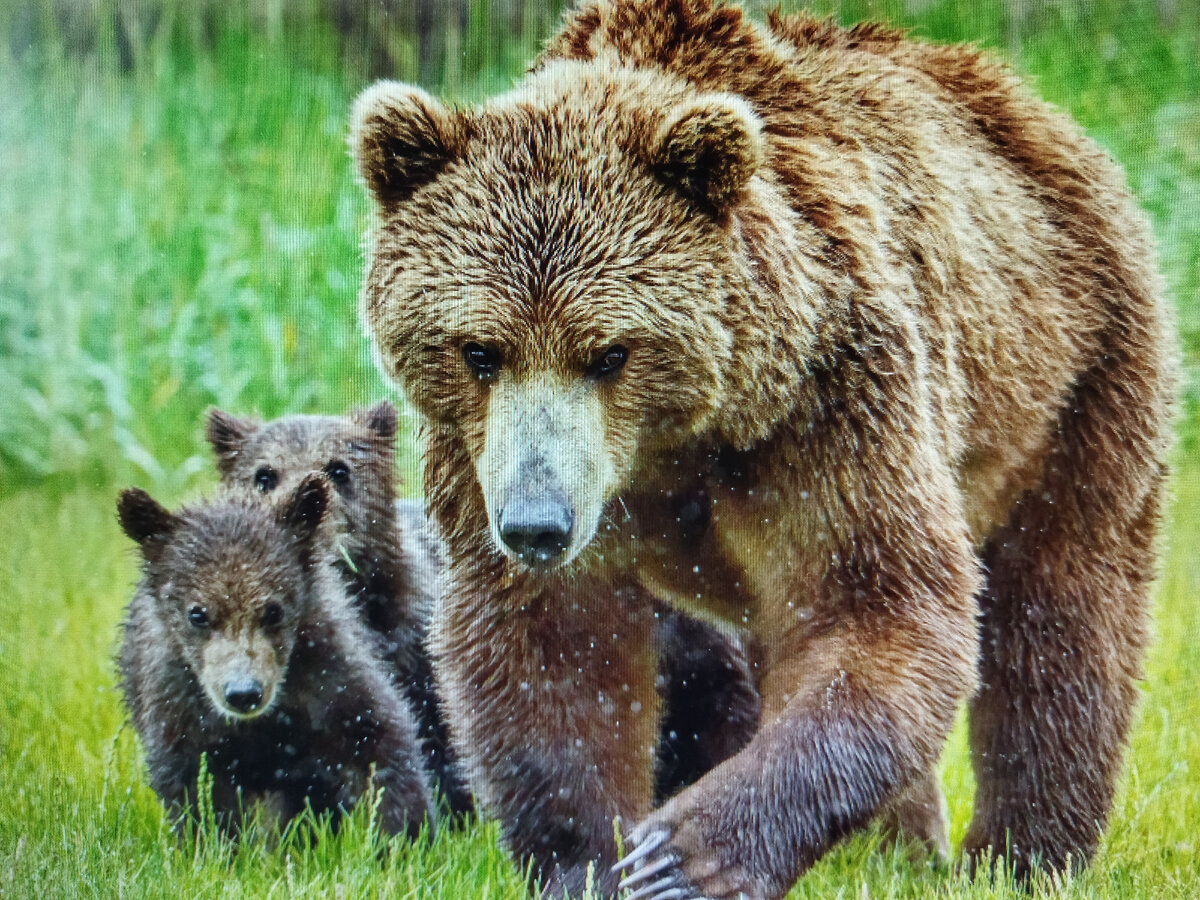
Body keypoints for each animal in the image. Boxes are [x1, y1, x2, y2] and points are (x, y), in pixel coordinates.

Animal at [350, 3, 1176, 897]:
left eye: (610, 352)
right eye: (480, 349)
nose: (538, 524)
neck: (675, 443)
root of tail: (1034, 111)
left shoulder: (831, 404)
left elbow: (878, 608)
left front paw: (684, 856)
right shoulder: (485, 457)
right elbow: (551, 651)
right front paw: (594, 859)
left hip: (1077, 371)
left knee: (1063, 609)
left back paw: (1023, 854)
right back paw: (897, 849)